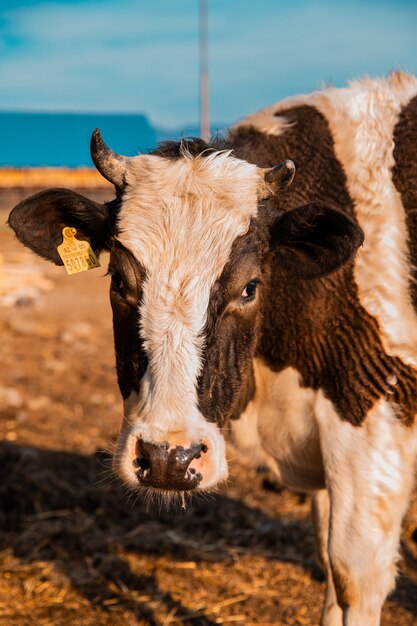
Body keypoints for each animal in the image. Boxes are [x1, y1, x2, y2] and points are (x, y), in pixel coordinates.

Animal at [7, 70, 417, 620]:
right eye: (118, 281)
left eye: (249, 287)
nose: (167, 459)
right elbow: (330, 570)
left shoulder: (376, 412)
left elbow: (354, 575)